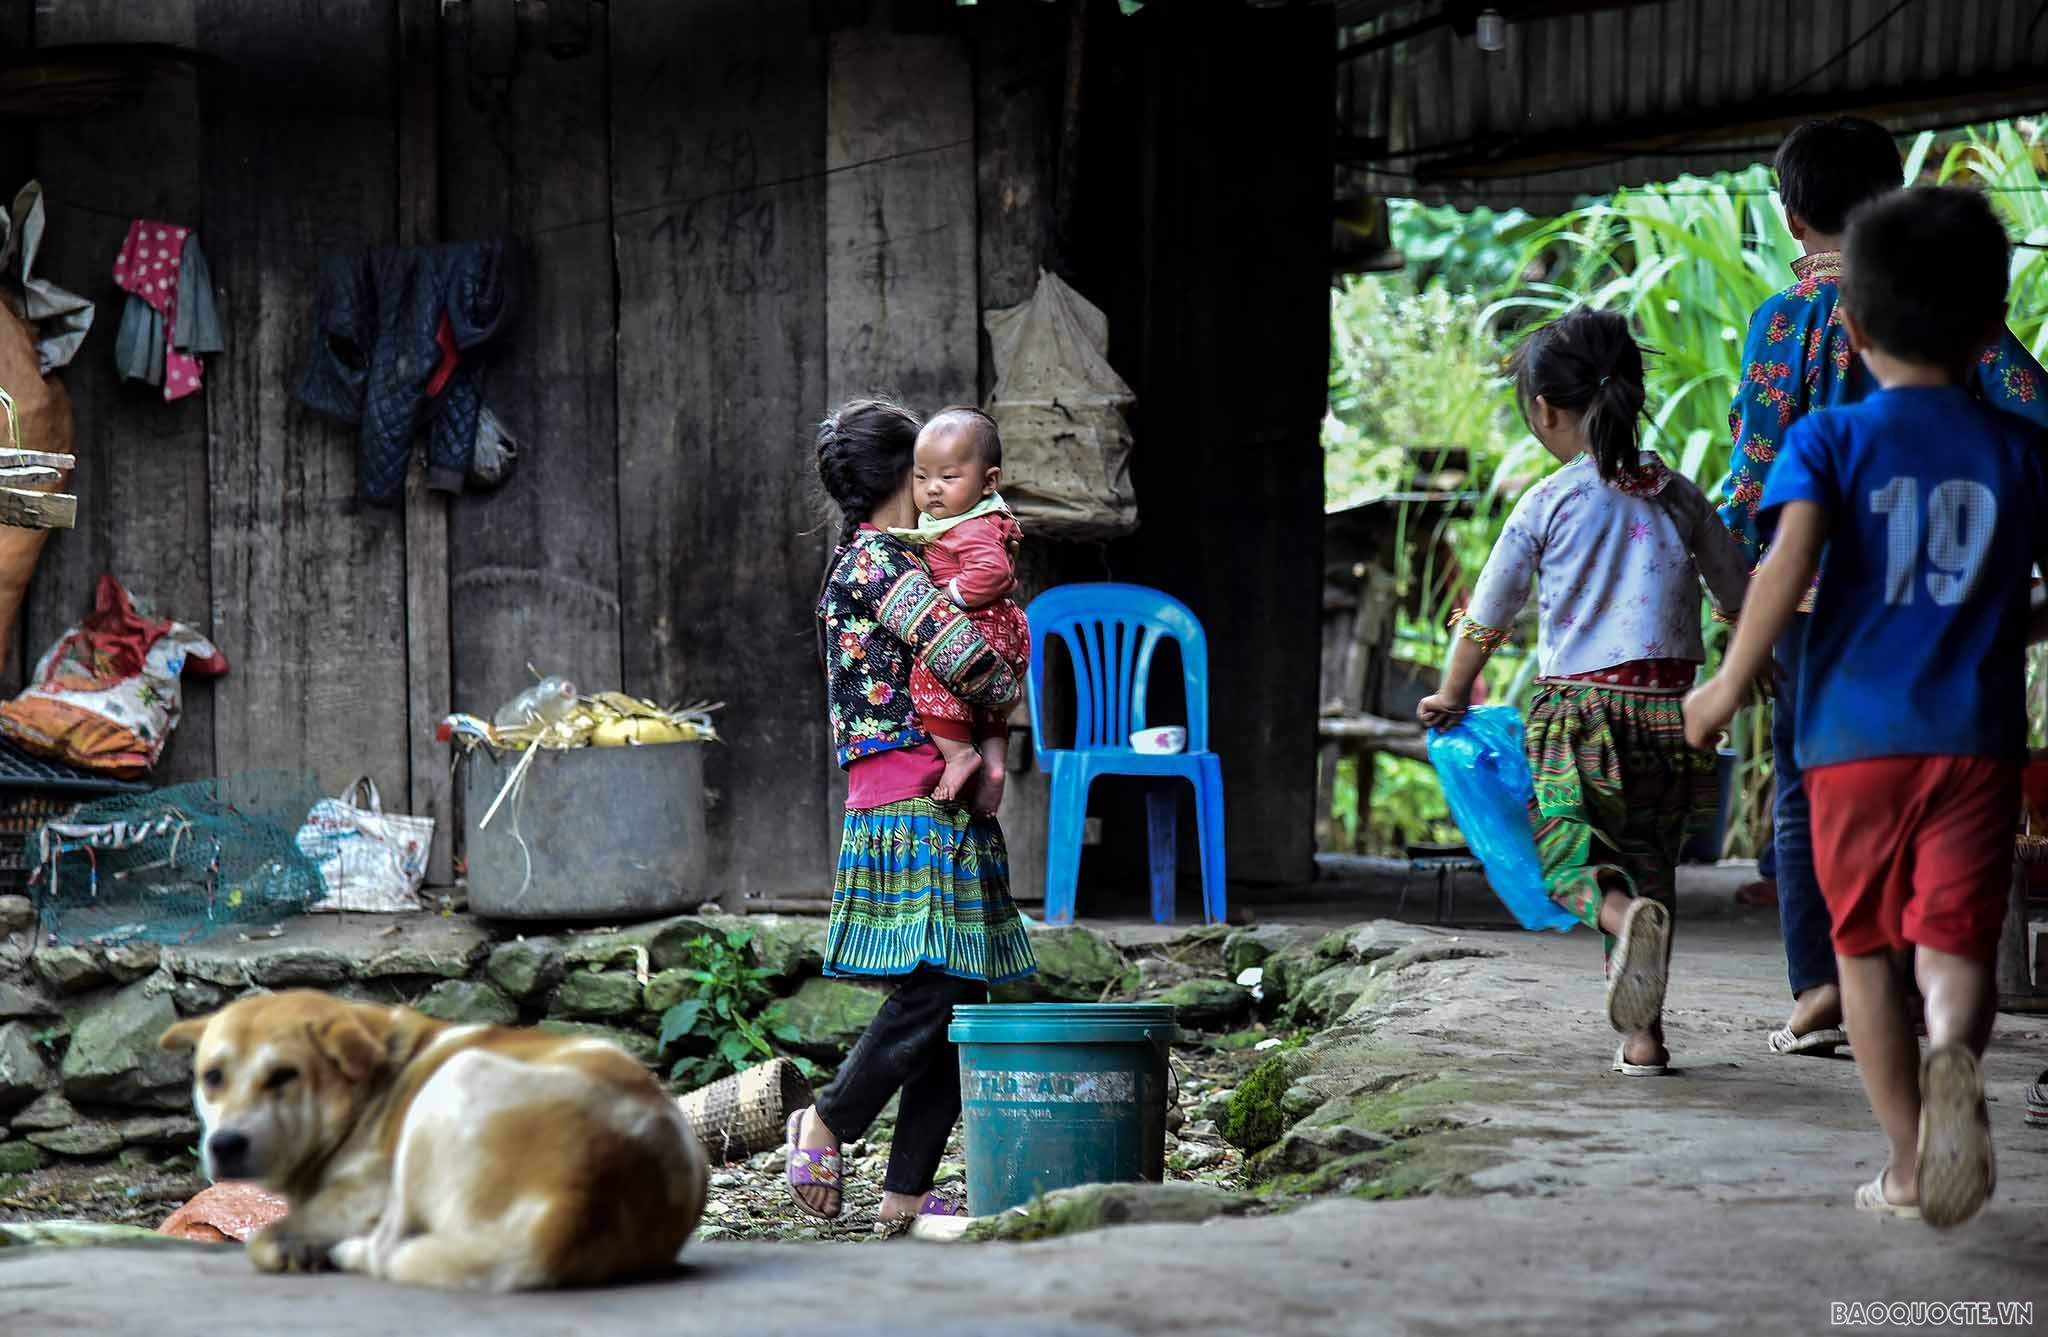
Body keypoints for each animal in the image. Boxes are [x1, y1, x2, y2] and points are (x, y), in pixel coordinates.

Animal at [155, 990, 708, 1285]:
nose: (225, 1144)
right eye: (213, 1077)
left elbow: (268, 1237)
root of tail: (570, 1209)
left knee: (386, 1249)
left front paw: (296, 1247)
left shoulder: (368, 1188)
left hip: (447, 1088)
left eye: (283, 1076)